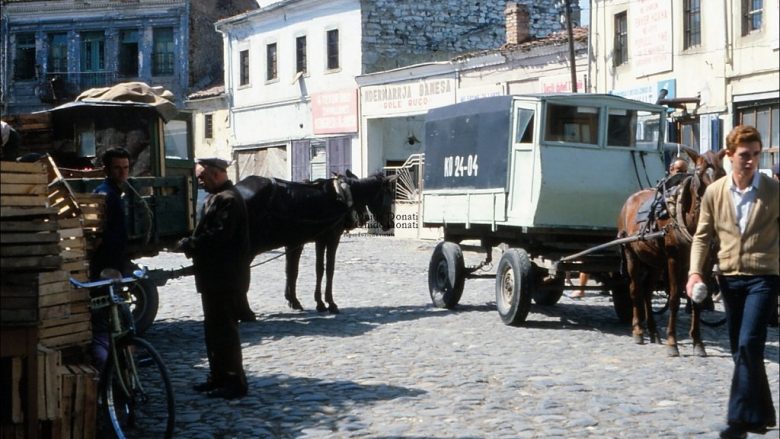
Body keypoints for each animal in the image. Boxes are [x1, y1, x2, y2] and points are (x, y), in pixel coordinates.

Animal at [236, 170, 396, 312]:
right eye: (389, 195)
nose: (389, 224)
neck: (341, 195)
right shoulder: (331, 238)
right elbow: (328, 269)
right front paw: (329, 303)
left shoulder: (306, 241)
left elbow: (301, 270)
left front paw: (301, 301)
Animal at [620, 148, 728, 358]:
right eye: (699, 172)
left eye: (723, 172)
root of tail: (629, 201)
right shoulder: (673, 260)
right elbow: (674, 298)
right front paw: (672, 342)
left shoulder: (705, 262)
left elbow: (697, 299)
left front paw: (698, 342)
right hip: (631, 254)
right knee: (635, 289)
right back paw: (638, 331)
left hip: (654, 263)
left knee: (647, 292)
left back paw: (653, 331)